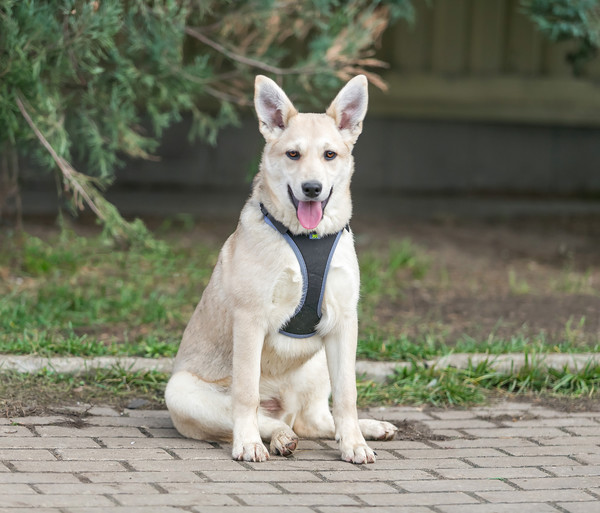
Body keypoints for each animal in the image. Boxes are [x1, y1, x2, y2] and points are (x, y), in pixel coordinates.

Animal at [165, 75, 398, 464]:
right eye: (293, 154)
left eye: (330, 155)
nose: (312, 189)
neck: (307, 237)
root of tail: (283, 406)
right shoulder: (250, 319)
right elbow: (245, 394)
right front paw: (247, 444)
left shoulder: (344, 322)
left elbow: (347, 396)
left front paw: (354, 444)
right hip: (180, 390)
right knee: (263, 418)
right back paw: (275, 437)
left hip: (318, 363)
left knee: (317, 421)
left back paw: (366, 429)